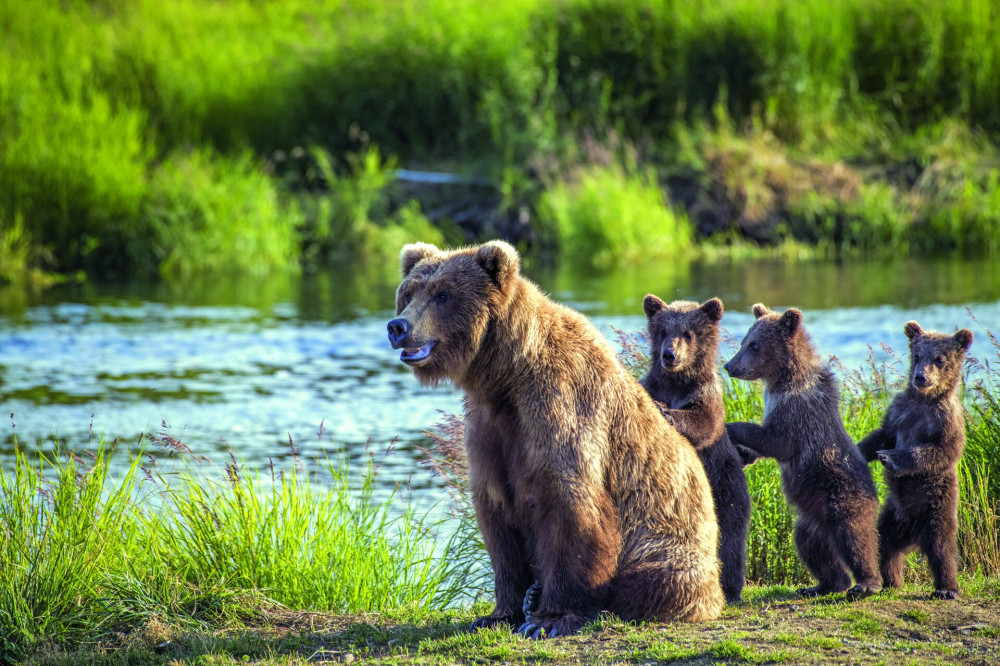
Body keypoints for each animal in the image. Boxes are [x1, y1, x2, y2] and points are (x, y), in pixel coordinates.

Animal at [386, 241, 724, 636]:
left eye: (443, 294)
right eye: (409, 293)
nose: (398, 326)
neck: (506, 377)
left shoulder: (560, 407)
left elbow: (571, 507)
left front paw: (549, 619)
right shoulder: (489, 429)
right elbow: (496, 518)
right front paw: (497, 613)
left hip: (670, 542)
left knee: (653, 578)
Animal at [640, 296, 752, 600]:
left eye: (688, 333)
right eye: (663, 331)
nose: (669, 355)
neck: (676, 383)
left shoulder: (706, 396)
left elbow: (703, 422)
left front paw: (667, 413)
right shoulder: (652, 386)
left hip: (726, 485)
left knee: (730, 536)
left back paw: (730, 587)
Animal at [724, 304, 880, 600]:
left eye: (754, 345)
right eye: (743, 341)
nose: (729, 366)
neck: (782, 379)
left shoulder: (799, 410)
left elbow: (778, 441)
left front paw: (730, 426)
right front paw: (742, 454)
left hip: (842, 495)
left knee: (854, 535)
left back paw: (867, 583)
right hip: (810, 521)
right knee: (812, 549)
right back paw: (822, 584)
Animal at [856, 322, 972, 596]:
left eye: (939, 359)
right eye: (917, 355)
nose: (921, 377)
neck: (924, 400)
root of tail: (913, 532)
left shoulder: (946, 419)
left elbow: (938, 451)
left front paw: (890, 458)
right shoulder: (899, 410)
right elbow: (883, 435)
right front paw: (860, 450)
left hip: (937, 506)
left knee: (942, 547)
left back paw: (946, 588)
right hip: (893, 515)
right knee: (885, 543)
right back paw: (891, 581)